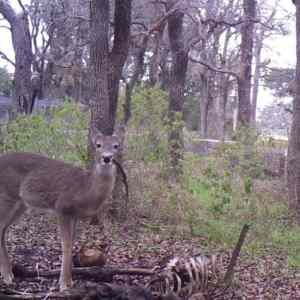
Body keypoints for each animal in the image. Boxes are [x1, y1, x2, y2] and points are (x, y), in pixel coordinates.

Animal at [0, 127, 120, 290]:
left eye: (116, 146)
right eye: (98, 145)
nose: (107, 158)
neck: (85, 188)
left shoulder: (75, 215)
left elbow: (72, 243)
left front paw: (70, 282)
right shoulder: (62, 207)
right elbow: (66, 245)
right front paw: (63, 285)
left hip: (21, 204)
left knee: (3, 230)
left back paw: (10, 274)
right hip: (6, 196)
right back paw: (7, 276)